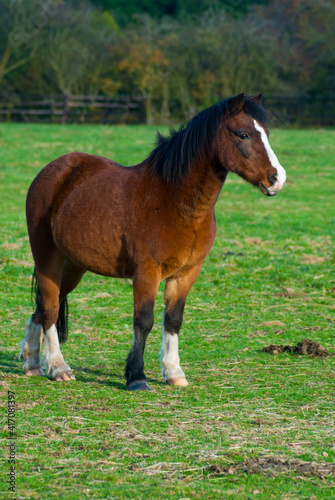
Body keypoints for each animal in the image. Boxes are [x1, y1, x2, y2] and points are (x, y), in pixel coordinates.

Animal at [21, 93, 286, 390]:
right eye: (243, 134)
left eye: (266, 133)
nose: (277, 178)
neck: (175, 200)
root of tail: (53, 171)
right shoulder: (147, 272)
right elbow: (143, 321)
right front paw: (136, 376)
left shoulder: (187, 273)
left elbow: (173, 319)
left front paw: (174, 372)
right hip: (48, 258)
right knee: (50, 307)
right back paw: (58, 367)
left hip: (74, 266)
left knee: (44, 306)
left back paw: (32, 363)